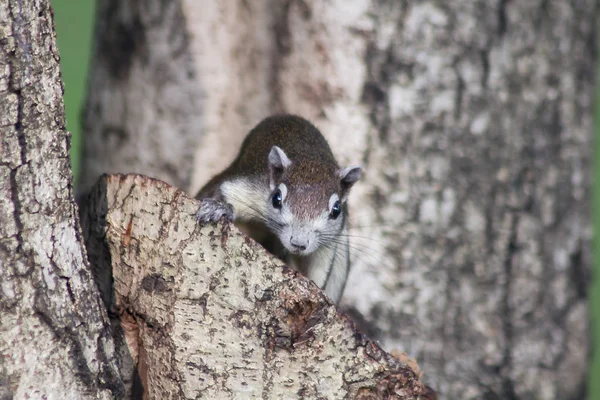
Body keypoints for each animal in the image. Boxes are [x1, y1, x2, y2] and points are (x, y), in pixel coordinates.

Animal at [195, 114, 360, 302]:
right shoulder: (250, 187)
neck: (311, 161)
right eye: (276, 198)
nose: (299, 243)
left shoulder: (329, 244)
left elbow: (320, 269)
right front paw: (219, 208)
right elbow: (226, 192)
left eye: (337, 210)